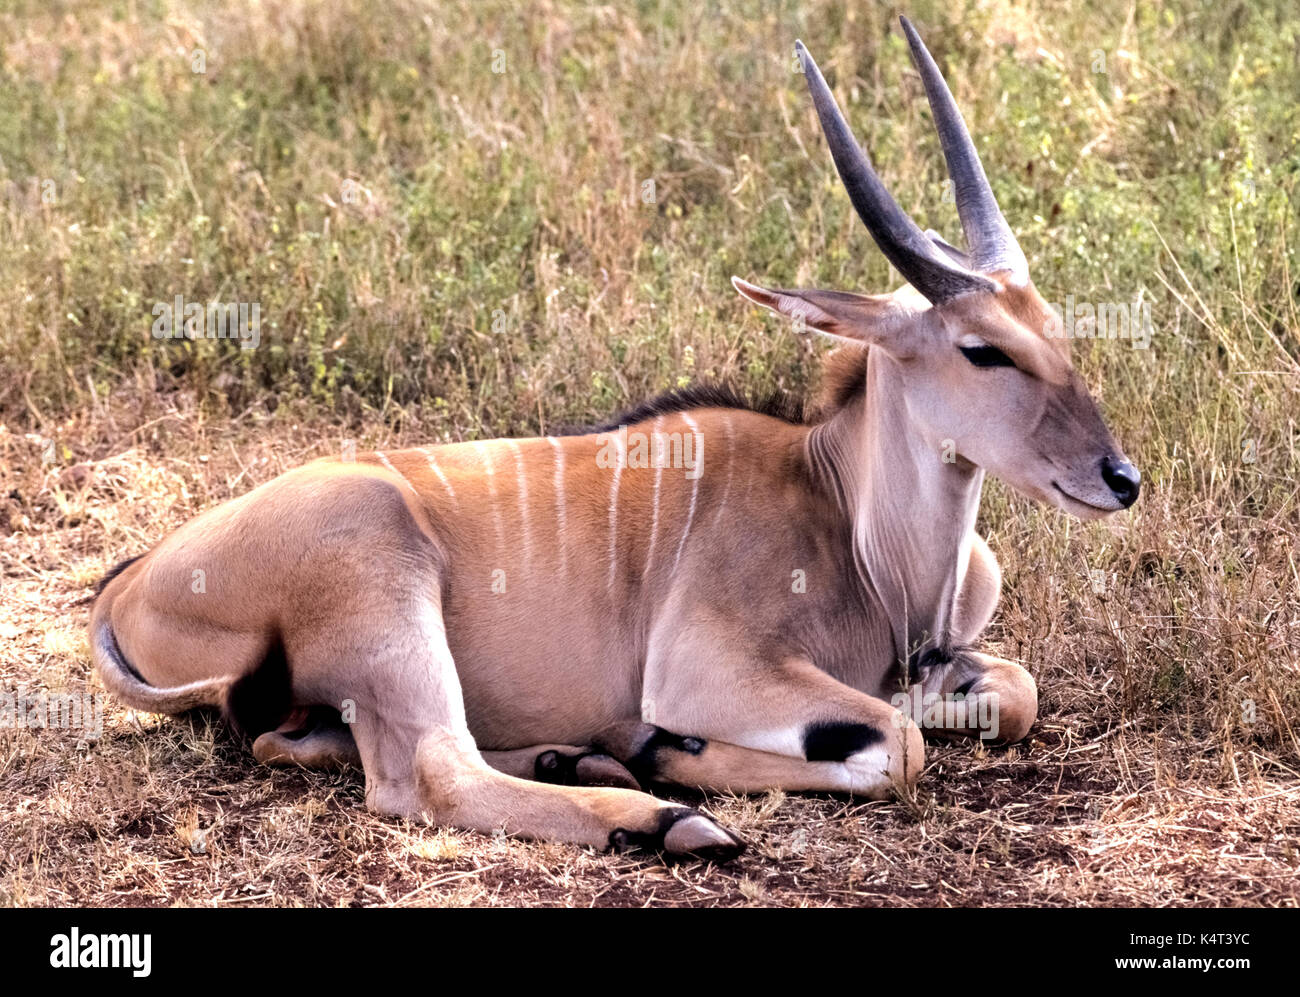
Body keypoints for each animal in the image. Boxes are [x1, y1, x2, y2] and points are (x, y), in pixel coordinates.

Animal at [91, 15, 1138, 863]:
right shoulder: (712, 671)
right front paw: (671, 751)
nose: (1118, 477)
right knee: (429, 773)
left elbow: (1012, 691)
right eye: (982, 350)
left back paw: (585, 754)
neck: (848, 519)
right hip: (382, 583)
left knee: (320, 742)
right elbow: (899, 744)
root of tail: (130, 586)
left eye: (1055, 329)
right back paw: (662, 813)